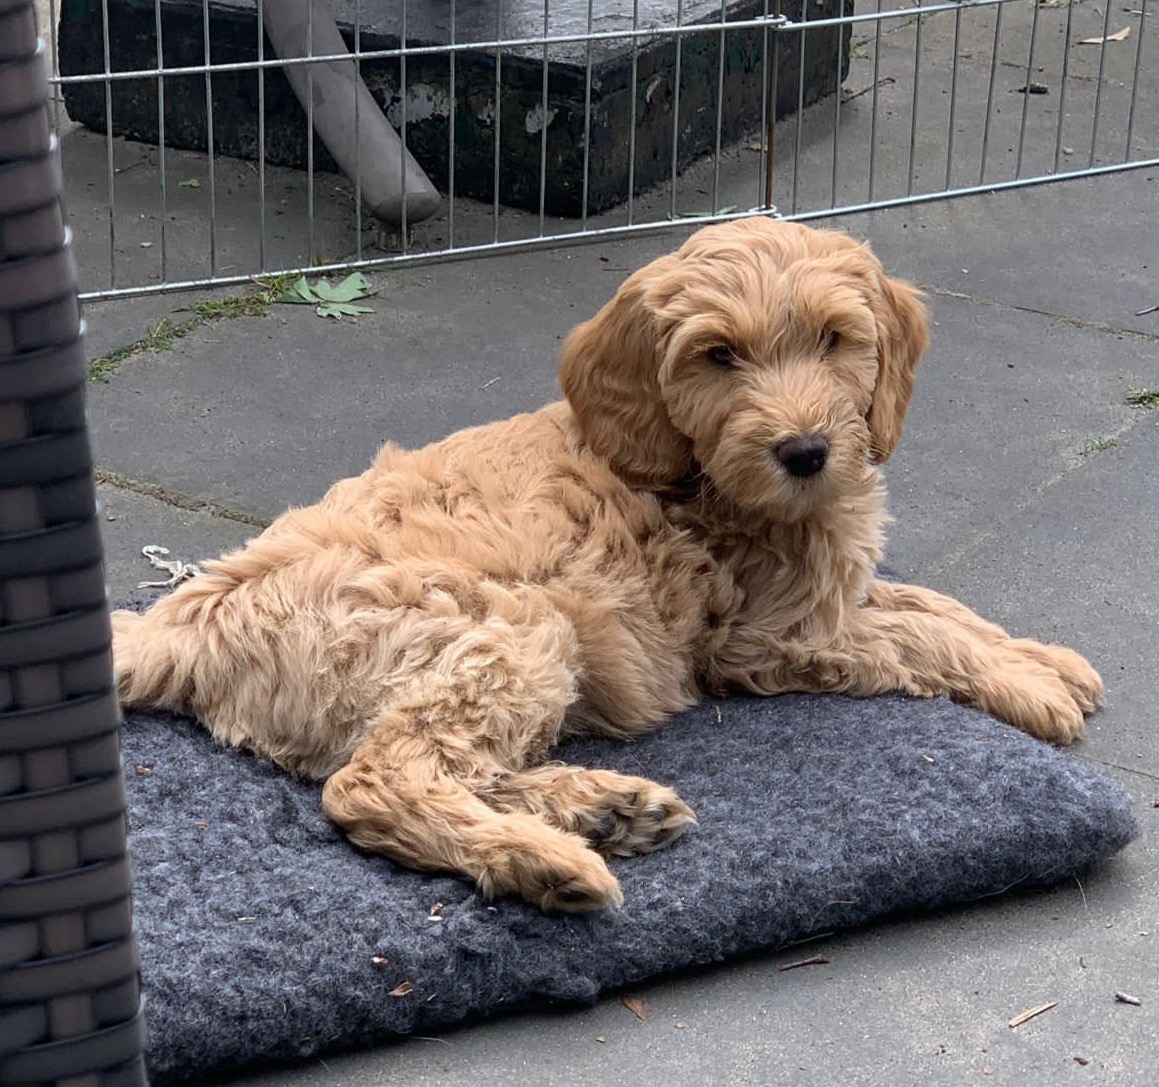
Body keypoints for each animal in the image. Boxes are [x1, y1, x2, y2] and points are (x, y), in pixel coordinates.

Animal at [110, 217, 1103, 908]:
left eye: (832, 338)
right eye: (718, 355)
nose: (806, 451)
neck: (699, 477)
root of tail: (183, 616)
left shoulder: (822, 599)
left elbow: (924, 604)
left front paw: (1042, 658)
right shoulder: (763, 636)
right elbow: (909, 637)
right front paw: (1028, 685)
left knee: (450, 763)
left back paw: (602, 809)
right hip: (505, 623)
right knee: (376, 779)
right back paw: (541, 858)